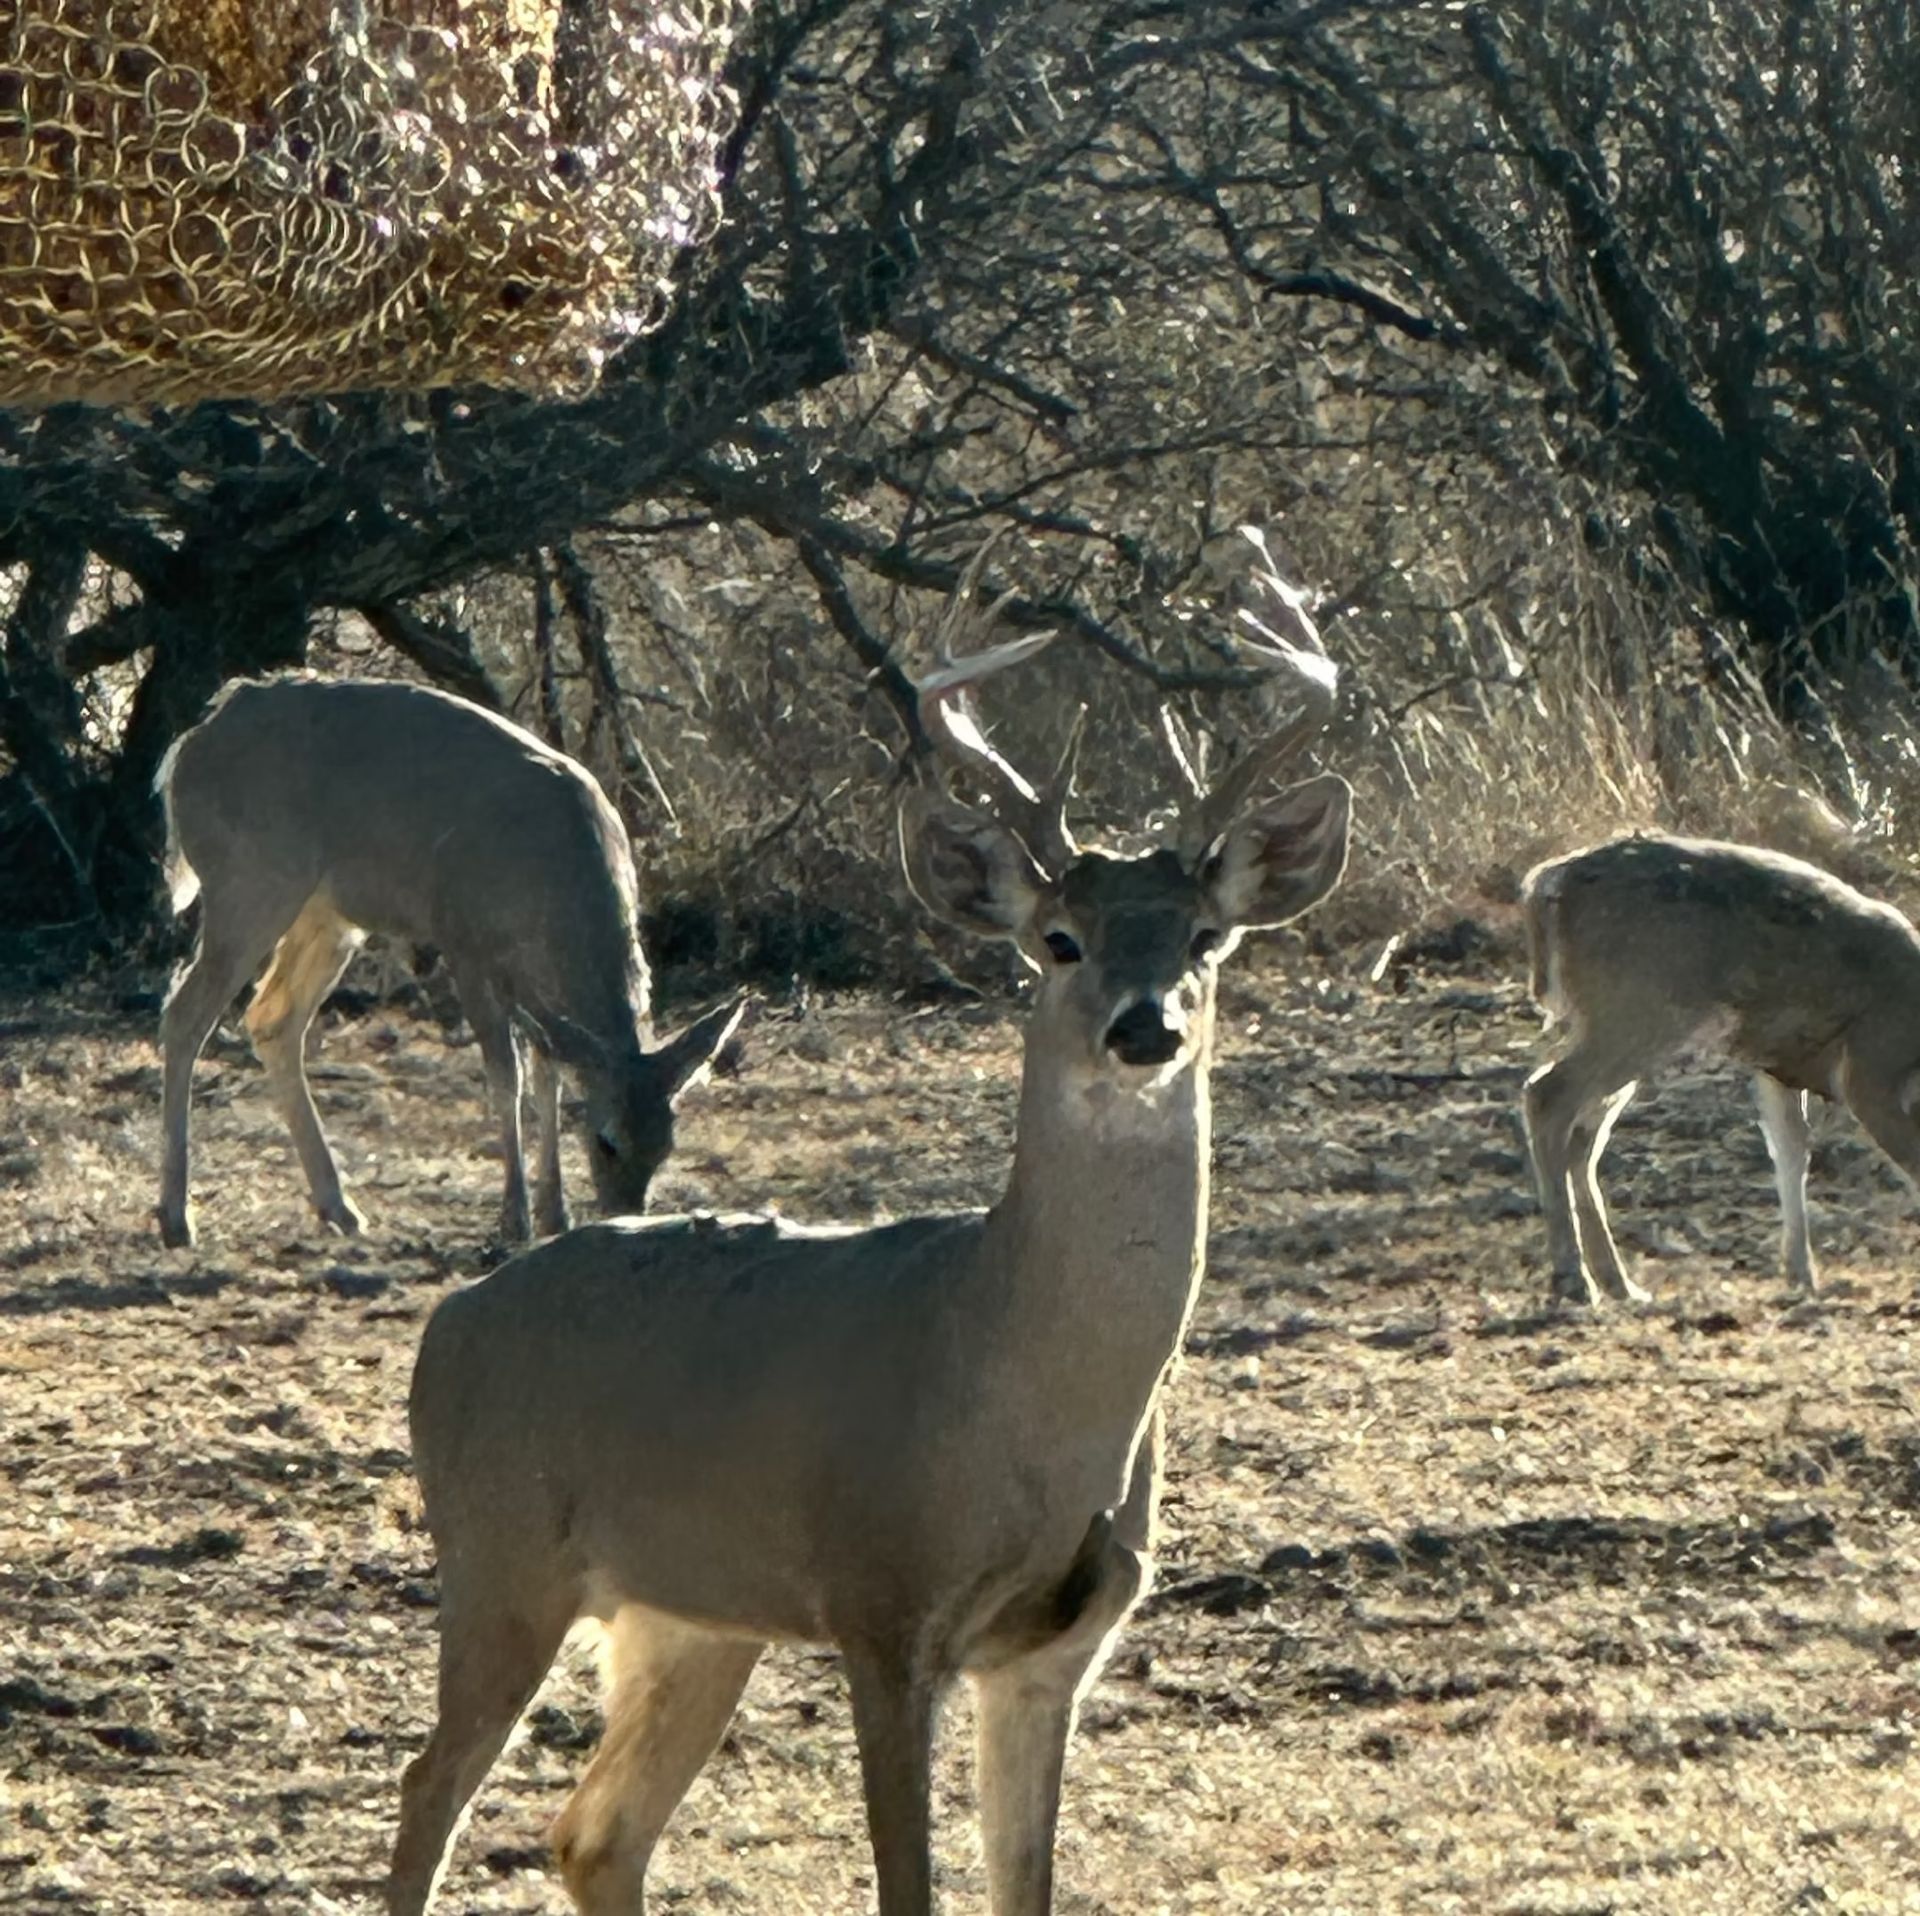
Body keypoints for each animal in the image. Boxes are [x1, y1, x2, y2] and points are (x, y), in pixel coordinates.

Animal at [155, 675, 746, 1250]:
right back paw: (177, 1218)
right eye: (607, 1142)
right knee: (185, 1013)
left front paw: (556, 1213)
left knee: (272, 1020)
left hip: (327, 914)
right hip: (250, 882)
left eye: (666, 1144)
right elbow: (507, 1078)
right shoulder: (465, 940)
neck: (558, 878)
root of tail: (186, 751)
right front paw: (516, 1218)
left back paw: (339, 1208)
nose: (626, 1212)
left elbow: (548, 1075)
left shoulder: (536, 982)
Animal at [384, 601, 1353, 1916]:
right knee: (428, 1786)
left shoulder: (1055, 1648)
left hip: (694, 1611)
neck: (1012, 1378)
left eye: (1208, 935)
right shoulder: (882, 1608)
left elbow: (1026, 1886)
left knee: (594, 1830)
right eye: (1058, 938)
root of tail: (451, 1320)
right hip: (501, 1551)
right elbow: (910, 1886)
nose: (1145, 1025)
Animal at [1521, 830, 1920, 1306]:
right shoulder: (1870, 1069)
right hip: (1640, 1011)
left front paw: (1799, 1273)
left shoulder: (1778, 1067)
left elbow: (1790, 1147)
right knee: (1548, 1095)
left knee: (1584, 1134)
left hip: (1625, 1022)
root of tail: (1547, 886)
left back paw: (1619, 1282)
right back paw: (1573, 1277)